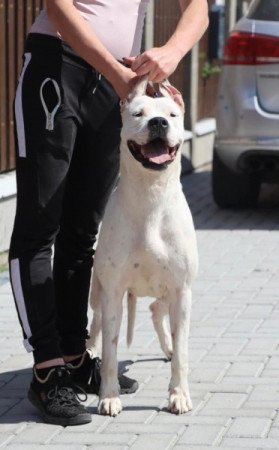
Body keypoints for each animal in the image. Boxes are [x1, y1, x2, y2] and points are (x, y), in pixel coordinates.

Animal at [87, 75, 199, 416]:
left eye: (173, 115)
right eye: (138, 114)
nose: (159, 122)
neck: (151, 195)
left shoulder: (181, 290)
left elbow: (183, 351)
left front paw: (178, 395)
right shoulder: (112, 291)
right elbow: (110, 351)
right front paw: (109, 396)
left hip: (168, 293)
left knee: (155, 310)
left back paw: (167, 347)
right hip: (98, 293)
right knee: (95, 326)